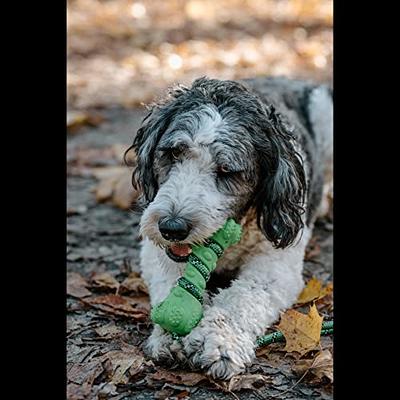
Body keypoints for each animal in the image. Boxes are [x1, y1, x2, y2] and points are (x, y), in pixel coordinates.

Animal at [126, 76, 332, 380]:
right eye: (173, 153)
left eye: (226, 171)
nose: (171, 227)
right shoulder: (155, 254)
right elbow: (172, 281)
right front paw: (169, 336)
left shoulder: (276, 265)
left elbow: (243, 297)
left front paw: (219, 341)